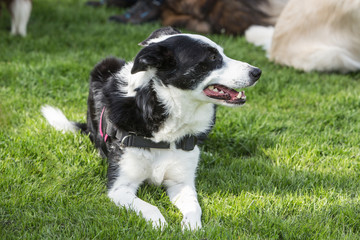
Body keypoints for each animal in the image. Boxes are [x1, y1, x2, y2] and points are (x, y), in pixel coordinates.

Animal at [41, 27, 262, 230]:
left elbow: (194, 207)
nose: (257, 72)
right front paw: (160, 224)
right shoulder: (119, 187)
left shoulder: (181, 183)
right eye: (213, 57)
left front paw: (192, 227)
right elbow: (150, 207)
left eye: (222, 53)